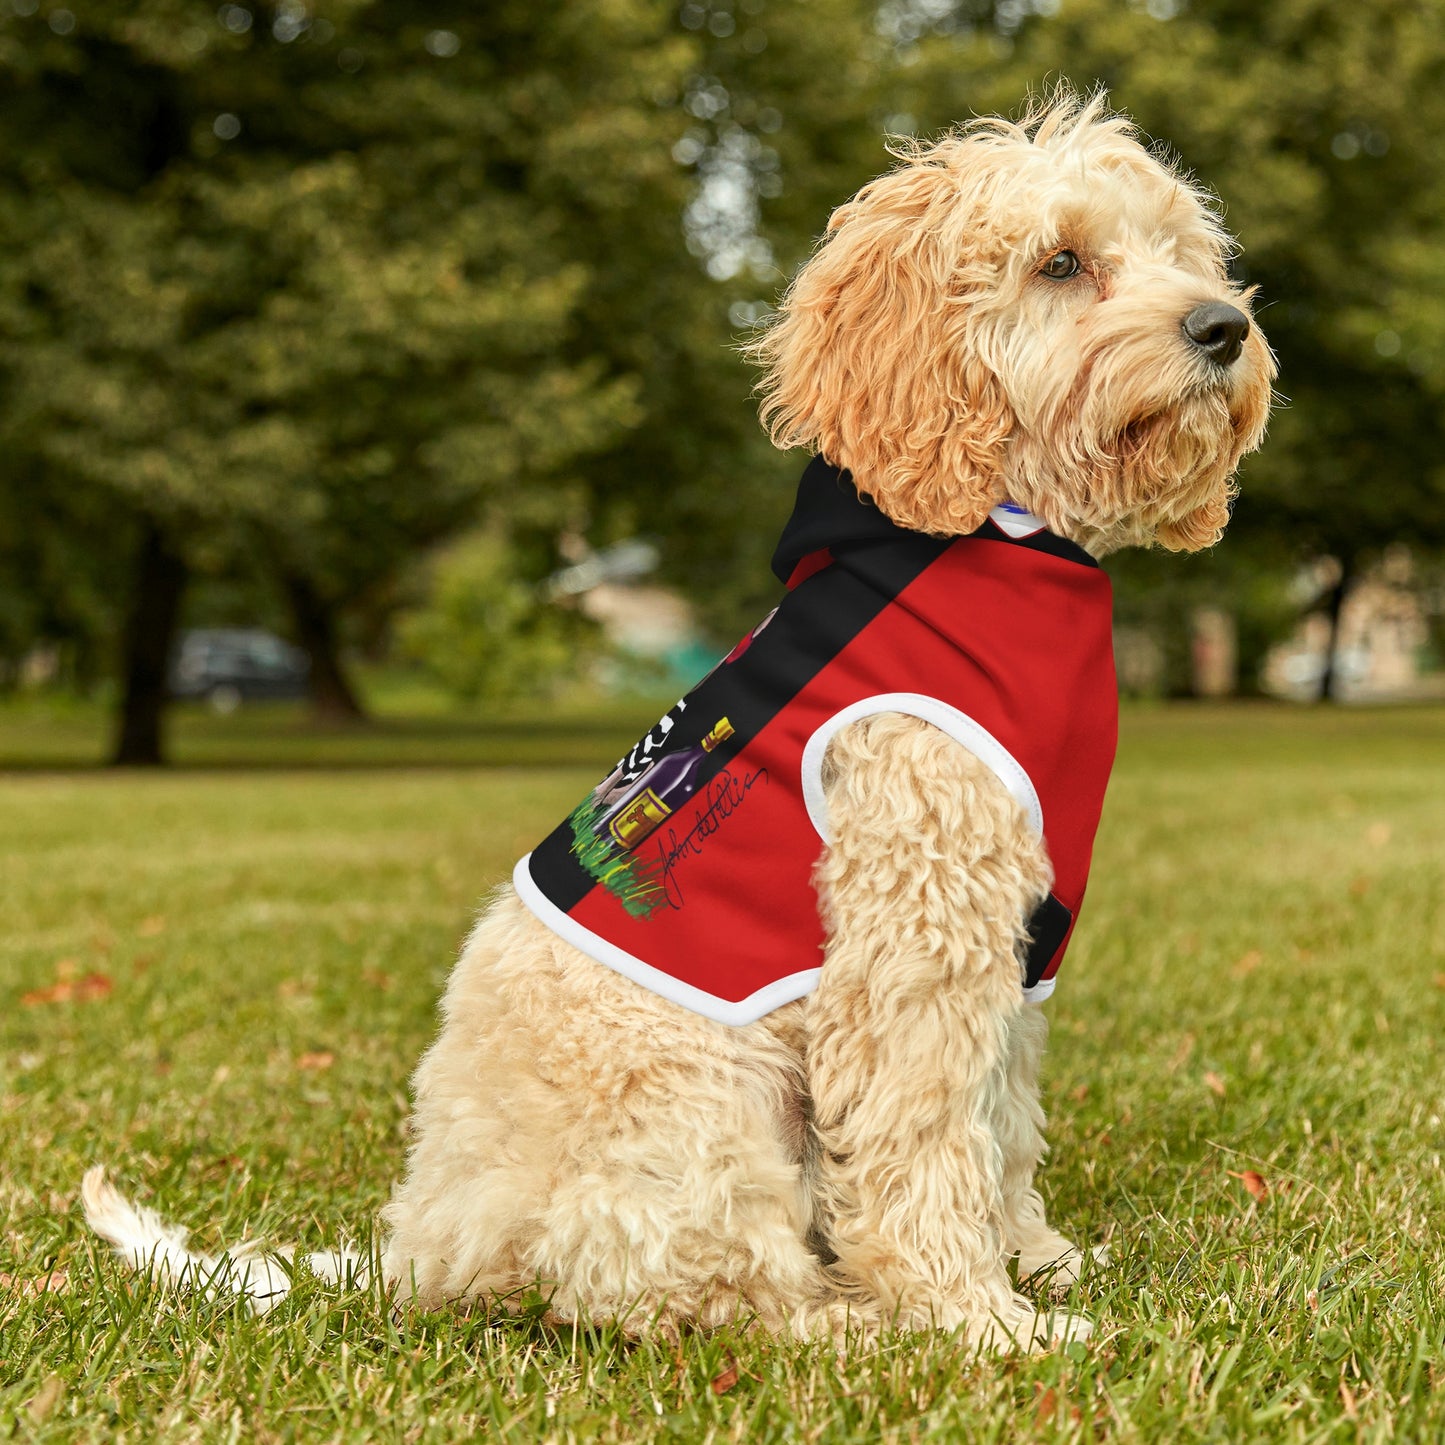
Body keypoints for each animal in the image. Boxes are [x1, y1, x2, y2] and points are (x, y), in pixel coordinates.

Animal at [84, 93, 1271, 1352]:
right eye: (1059, 262)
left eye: (1180, 251)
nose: (1222, 327)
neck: (993, 535)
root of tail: (424, 1245)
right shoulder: (914, 933)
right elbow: (924, 1137)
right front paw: (977, 1319)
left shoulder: (1015, 937)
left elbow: (999, 1120)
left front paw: (1035, 1260)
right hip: (705, 1105)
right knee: (700, 1291)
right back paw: (852, 1322)